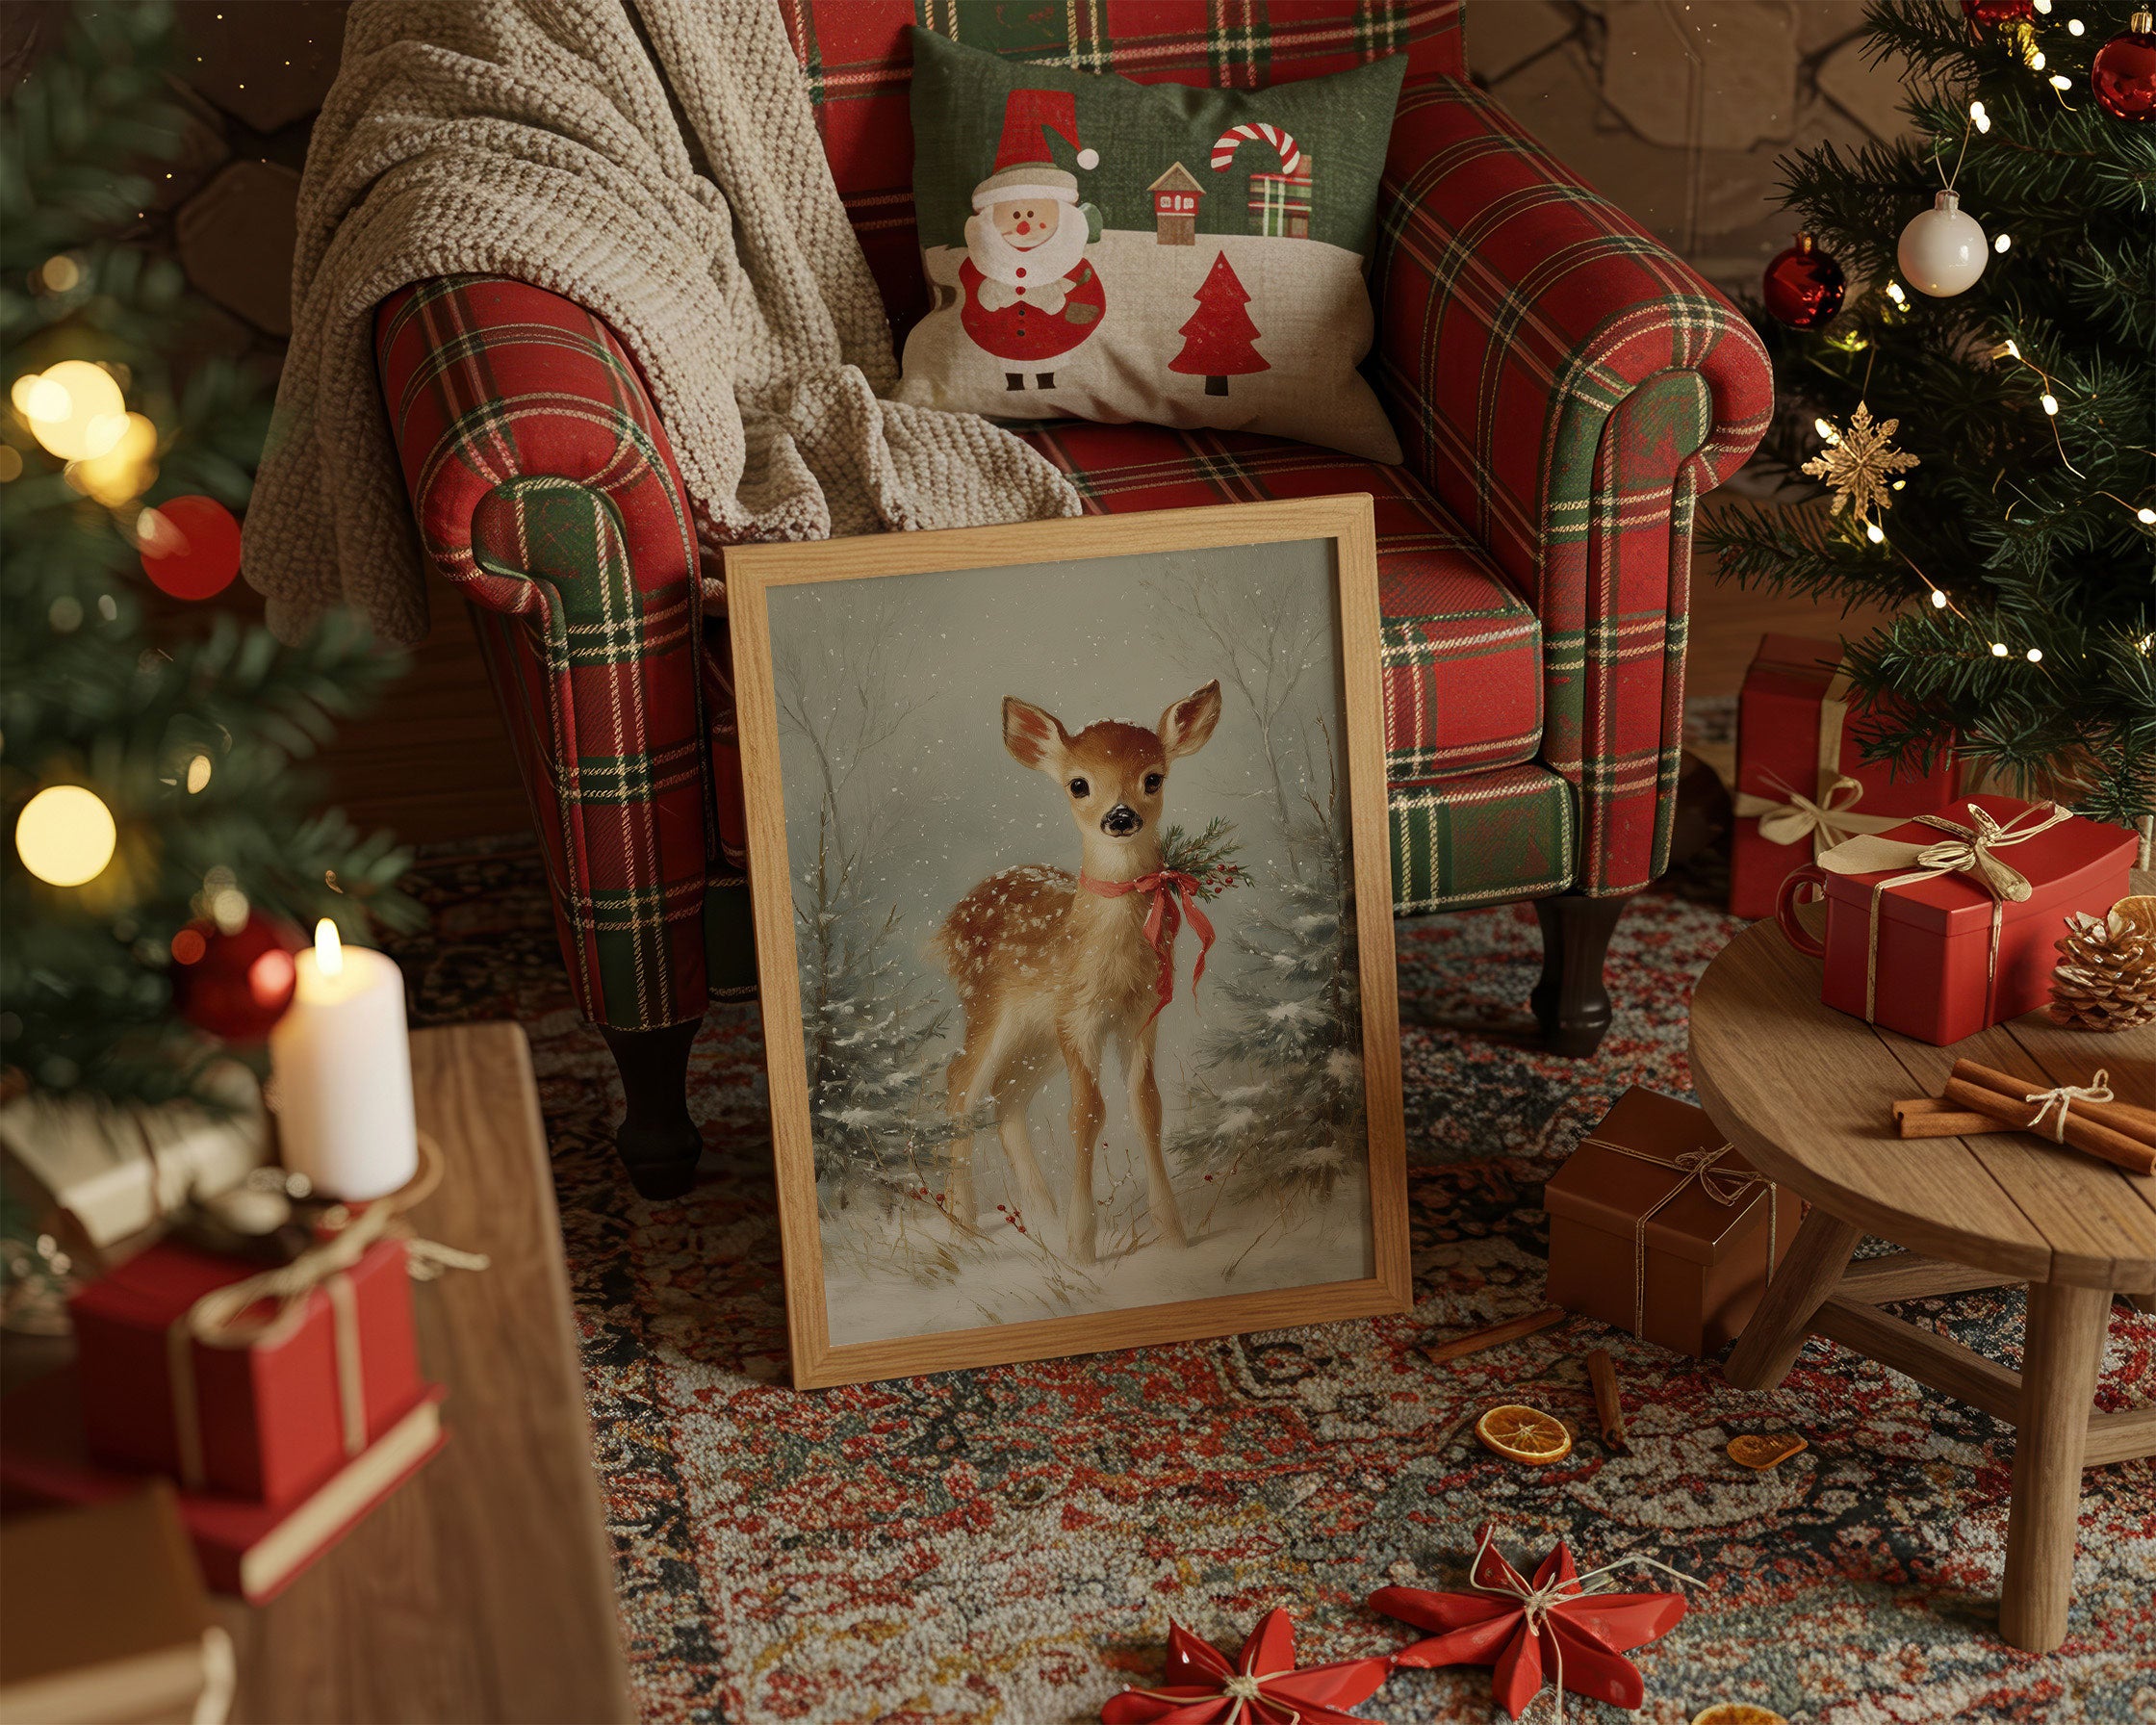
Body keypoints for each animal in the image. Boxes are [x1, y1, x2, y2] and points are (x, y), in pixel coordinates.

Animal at [933, 681, 1223, 1266]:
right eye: (1079, 783)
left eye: (1153, 777)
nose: (1121, 816)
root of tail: (953, 919)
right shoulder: (1080, 1016)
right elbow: (1087, 1114)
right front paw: (1083, 1246)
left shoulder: (1140, 1014)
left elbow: (1147, 1108)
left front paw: (1174, 1237)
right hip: (990, 1007)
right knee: (960, 1086)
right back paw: (963, 1224)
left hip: (1039, 1035)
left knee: (1007, 1098)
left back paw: (1039, 1214)